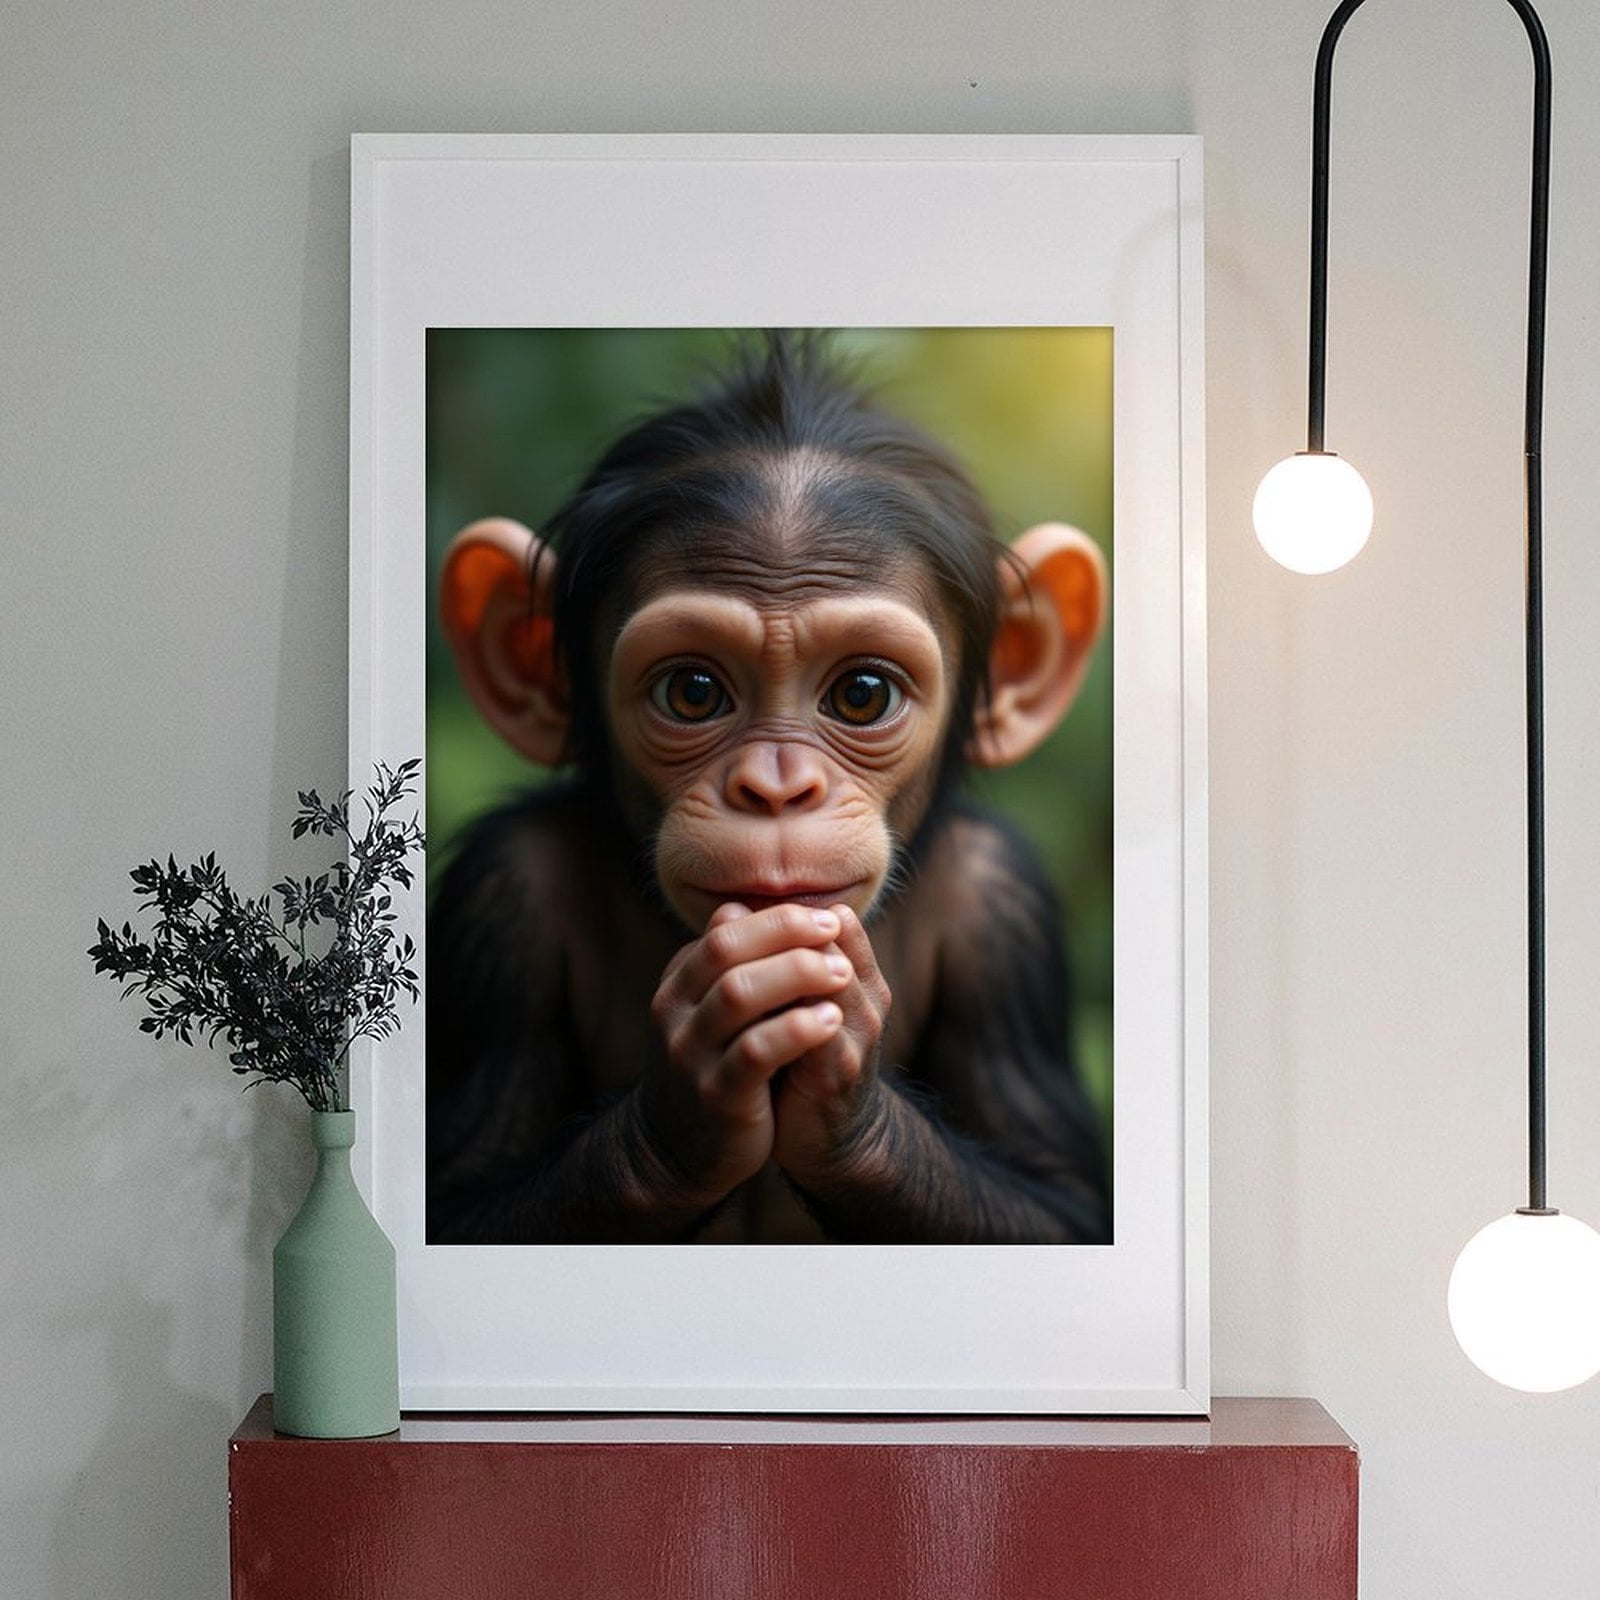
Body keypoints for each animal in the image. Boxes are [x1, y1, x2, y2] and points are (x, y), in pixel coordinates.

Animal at [425, 334, 1110, 1245]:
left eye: (863, 694)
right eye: (692, 692)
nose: (777, 790)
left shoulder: (1005, 906)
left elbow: (1063, 1201)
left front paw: (850, 1110)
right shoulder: (499, 899)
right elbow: (458, 1196)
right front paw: (684, 1111)